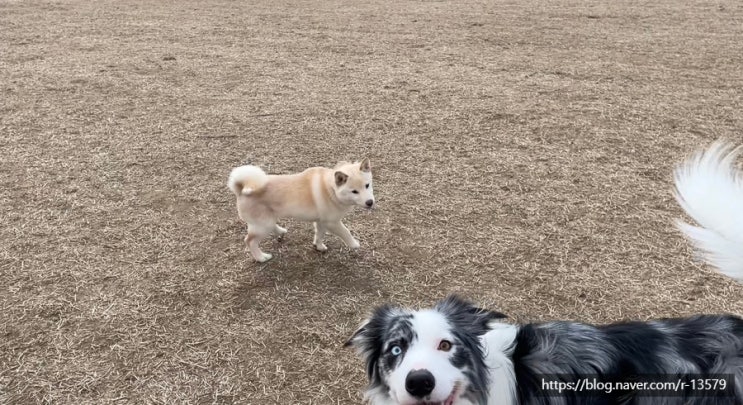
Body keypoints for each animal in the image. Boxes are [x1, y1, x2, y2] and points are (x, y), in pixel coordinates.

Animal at [227, 158, 374, 262]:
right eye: (354, 191)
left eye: (367, 185)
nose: (370, 202)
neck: (330, 188)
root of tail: (240, 189)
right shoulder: (332, 223)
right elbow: (346, 232)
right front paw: (354, 244)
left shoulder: (321, 222)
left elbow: (319, 235)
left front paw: (318, 246)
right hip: (262, 225)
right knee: (250, 241)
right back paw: (261, 257)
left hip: (266, 221)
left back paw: (281, 231)